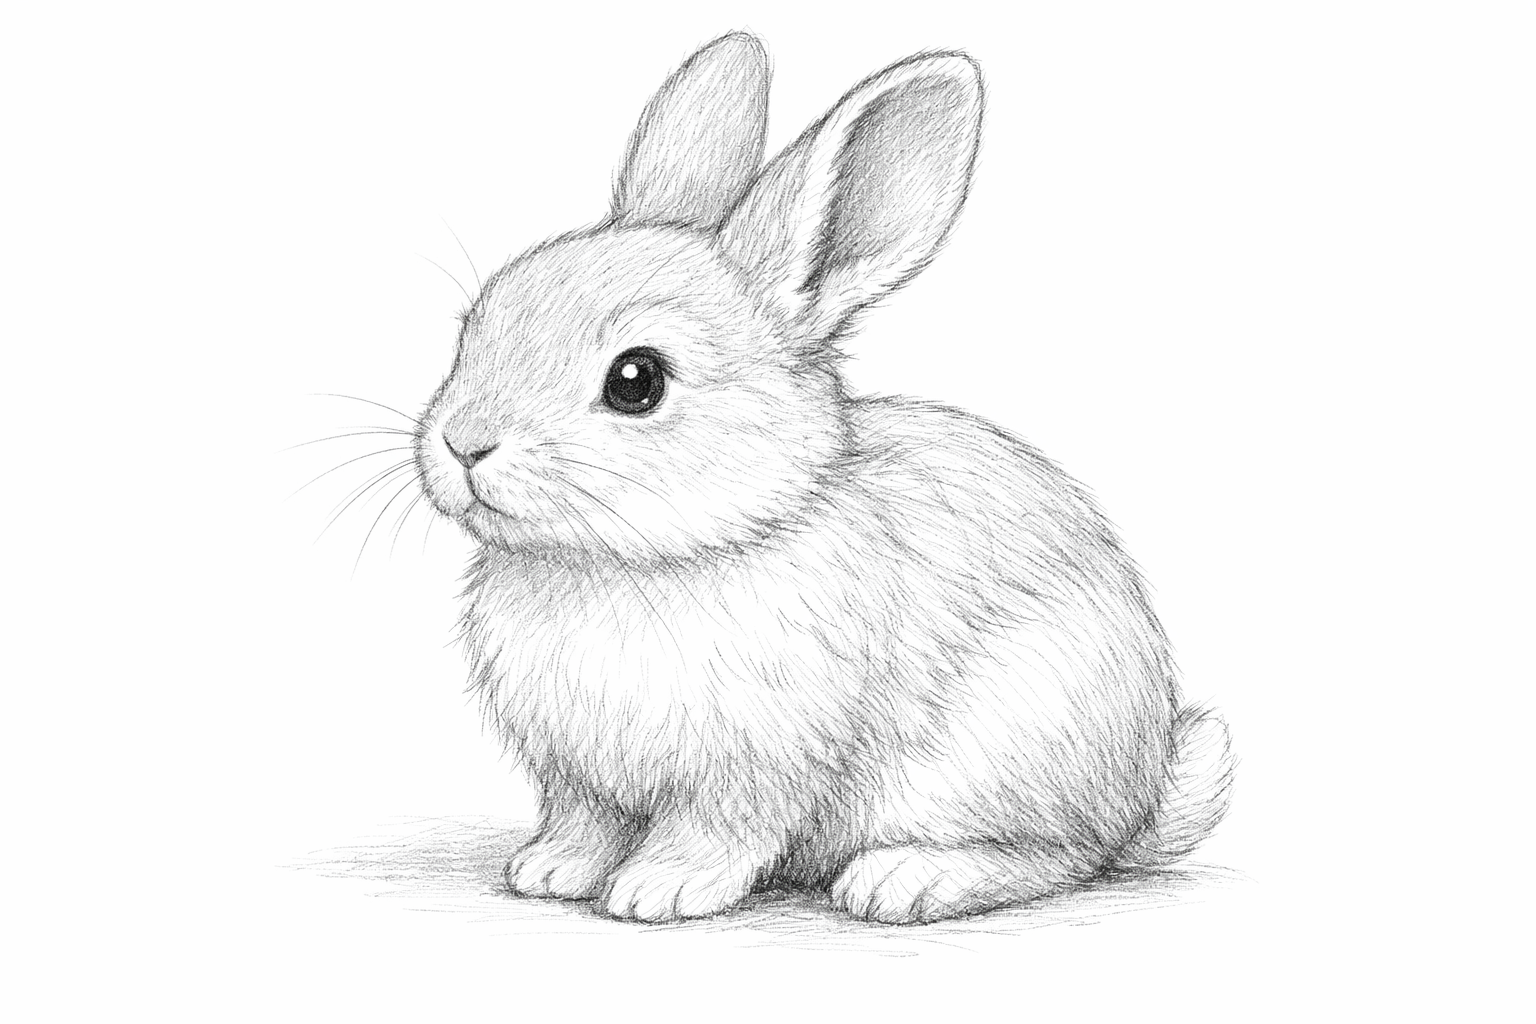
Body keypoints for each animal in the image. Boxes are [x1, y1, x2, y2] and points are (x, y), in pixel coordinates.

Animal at [411, 32, 1235, 924]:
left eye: (636, 380)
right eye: (476, 323)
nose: (464, 443)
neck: (642, 558)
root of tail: (1144, 793)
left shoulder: (758, 762)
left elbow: (717, 829)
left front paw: (658, 891)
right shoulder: (578, 777)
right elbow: (585, 822)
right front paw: (551, 871)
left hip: (1011, 746)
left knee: (1062, 856)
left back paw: (905, 881)